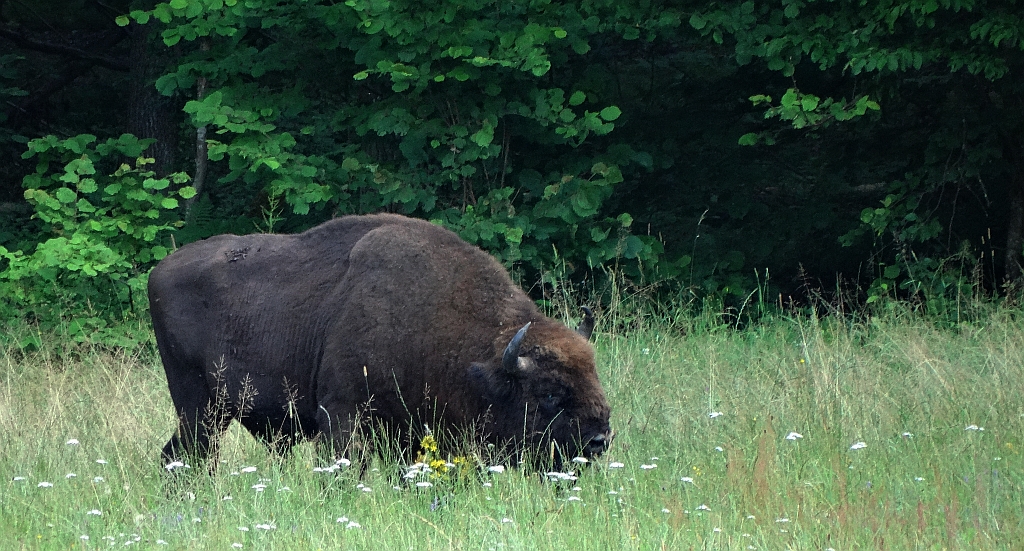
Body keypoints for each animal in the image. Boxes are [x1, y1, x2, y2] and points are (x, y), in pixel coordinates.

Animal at [148, 213, 612, 469]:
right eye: (548, 392)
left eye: (594, 377)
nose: (598, 441)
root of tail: (160, 270)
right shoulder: (342, 416)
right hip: (199, 407)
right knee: (191, 454)